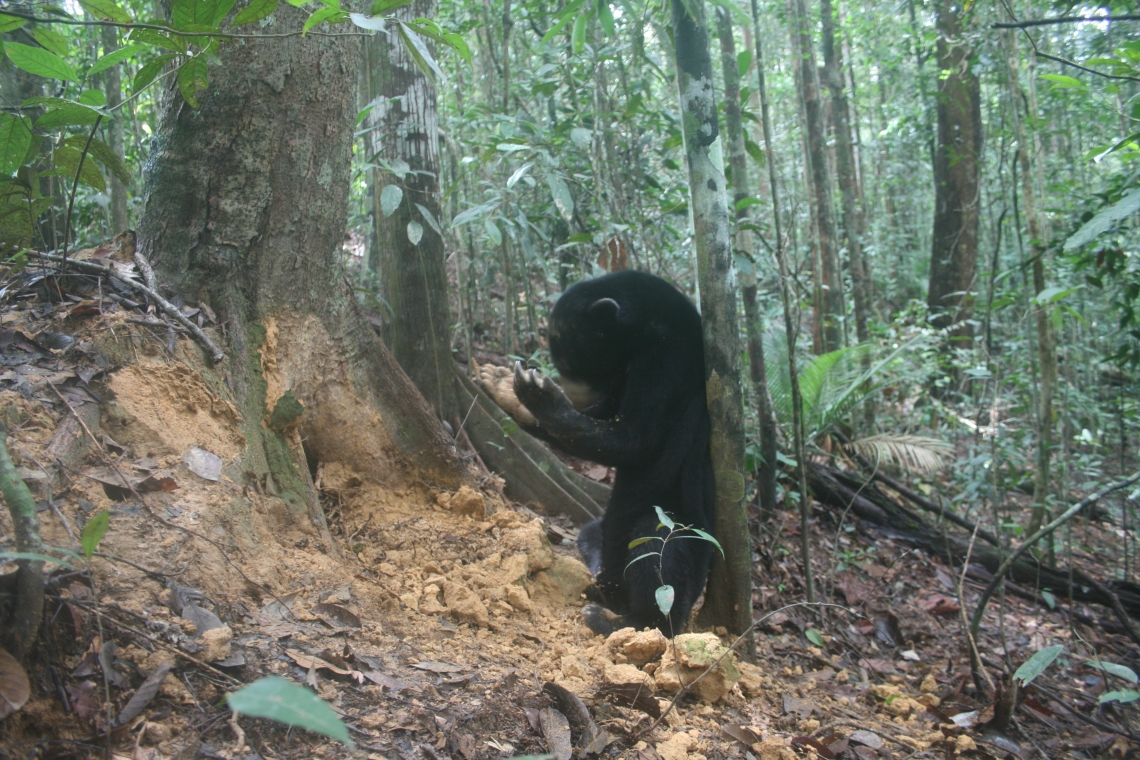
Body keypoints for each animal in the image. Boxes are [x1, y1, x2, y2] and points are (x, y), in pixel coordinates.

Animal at [478, 268, 711, 638]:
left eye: (568, 357)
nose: (572, 394)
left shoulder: (666, 364)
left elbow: (636, 439)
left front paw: (540, 394)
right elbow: (604, 416)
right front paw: (498, 380)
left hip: (677, 530)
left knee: (657, 553)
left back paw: (611, 618)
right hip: (600, 535)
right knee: (590, 532)